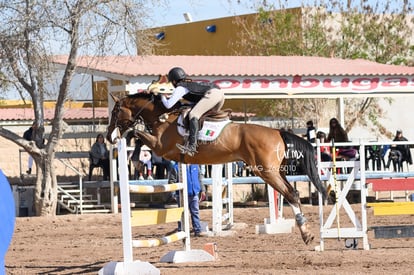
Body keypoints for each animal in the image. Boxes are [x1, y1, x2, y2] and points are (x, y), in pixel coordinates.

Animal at [106, 87, 326, 245]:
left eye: (115, 111)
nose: (109, 136)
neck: (163, 117)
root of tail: (278, 132)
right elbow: (137, 134)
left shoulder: (161, 147)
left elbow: (135, 134)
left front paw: (135, 157)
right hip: (276, 171)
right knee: (292, 192)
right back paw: (306, 233)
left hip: (266, 172)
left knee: (290, 194)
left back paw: (305, 234)